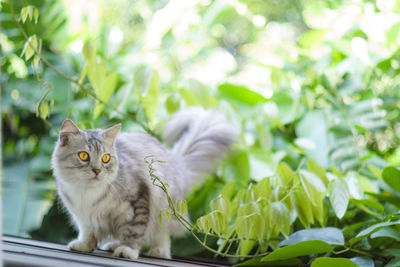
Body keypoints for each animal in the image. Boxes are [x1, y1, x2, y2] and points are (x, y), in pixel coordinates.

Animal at [51, 108, 236, 260]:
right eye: (83, 156)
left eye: (106, 158)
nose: (97, 171)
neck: (87, 192)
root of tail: (176, 161)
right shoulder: (83, 216)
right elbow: (88, 233)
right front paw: (84, 245)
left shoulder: (138, 201)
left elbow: (134, 232)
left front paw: (128, 251)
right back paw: (113, 245)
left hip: (165, 212)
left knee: (162, 237)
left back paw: (157, 251)